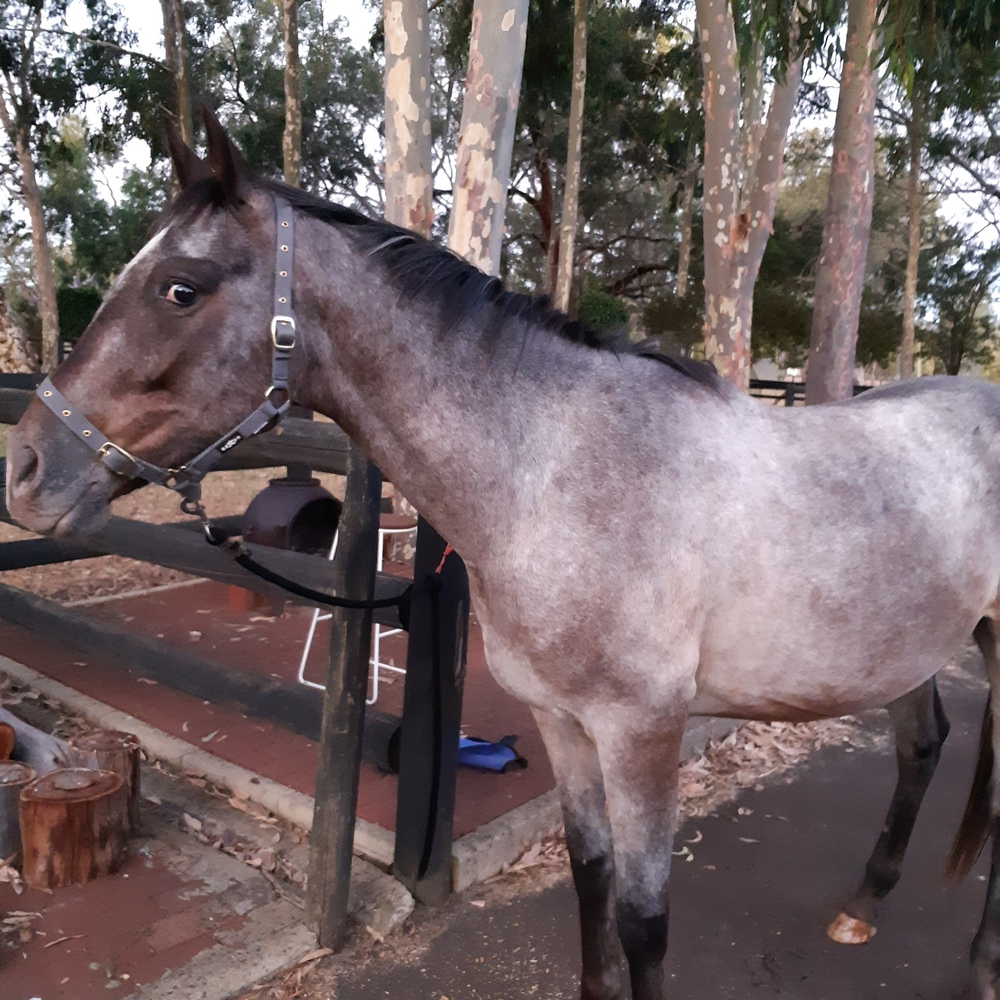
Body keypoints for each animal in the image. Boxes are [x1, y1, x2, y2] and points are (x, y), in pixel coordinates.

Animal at [6, 112, 1000, 999]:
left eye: (181, 287)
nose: (26, 470)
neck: (557, 474)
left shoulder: (643, 733)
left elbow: (644, 920)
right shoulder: (561, 723)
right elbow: (591, 881)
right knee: (924, 745)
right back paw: (863, 908)